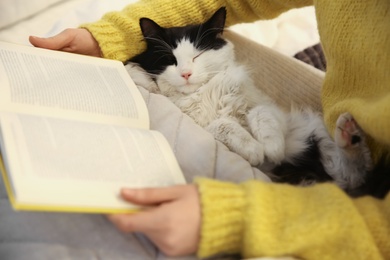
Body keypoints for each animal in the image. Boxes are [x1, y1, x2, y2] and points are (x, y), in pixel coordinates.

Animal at [125, 6, 378, 195]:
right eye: (170, 59)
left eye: (198, 55)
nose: (186, 74)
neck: (205, 93)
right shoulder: (202, 123)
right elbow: (223, 125)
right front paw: (254, 150)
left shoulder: (269, 109)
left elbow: (259, 114)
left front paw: (271, 147)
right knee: (352, 178)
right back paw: (348, 134)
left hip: (315, 132)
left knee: (353, 174)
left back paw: (349, 133)